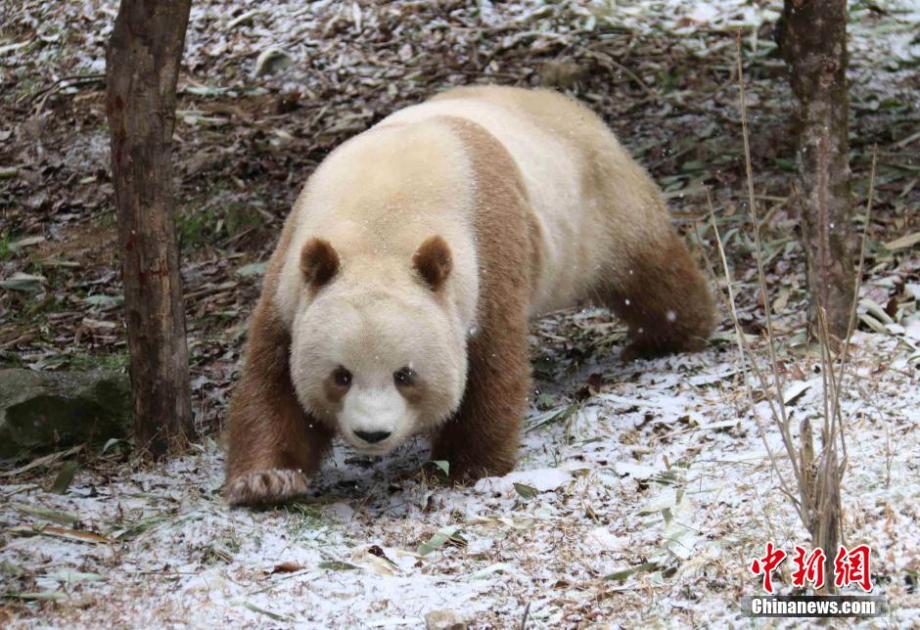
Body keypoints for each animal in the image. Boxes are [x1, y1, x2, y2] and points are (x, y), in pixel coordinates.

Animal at [225, 86, 715, 506]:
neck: (380, 222)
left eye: (406, 375)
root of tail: (564, 103)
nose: (373, 434)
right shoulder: (293, 272)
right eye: (340, 375)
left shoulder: (485, 251)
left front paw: (462, 468)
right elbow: (274, 381)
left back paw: (671, 337)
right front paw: (267, 480)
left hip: (597, 203)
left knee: (647, 272)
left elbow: (490, 366)